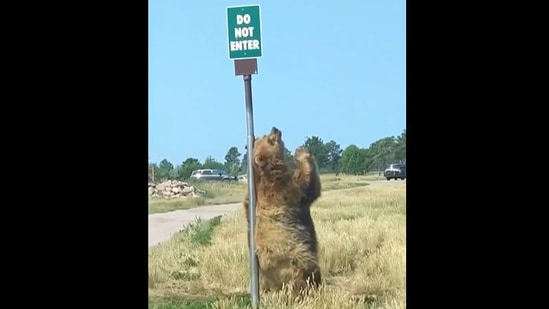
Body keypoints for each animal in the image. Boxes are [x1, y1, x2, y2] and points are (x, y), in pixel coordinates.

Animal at [243, 125, 322, 294]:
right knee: (308, 274)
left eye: (264, 134)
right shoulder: (283, 189)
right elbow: (308, 184)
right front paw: (301, 151)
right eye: (268, 138)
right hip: (297, 259)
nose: (275, 128)